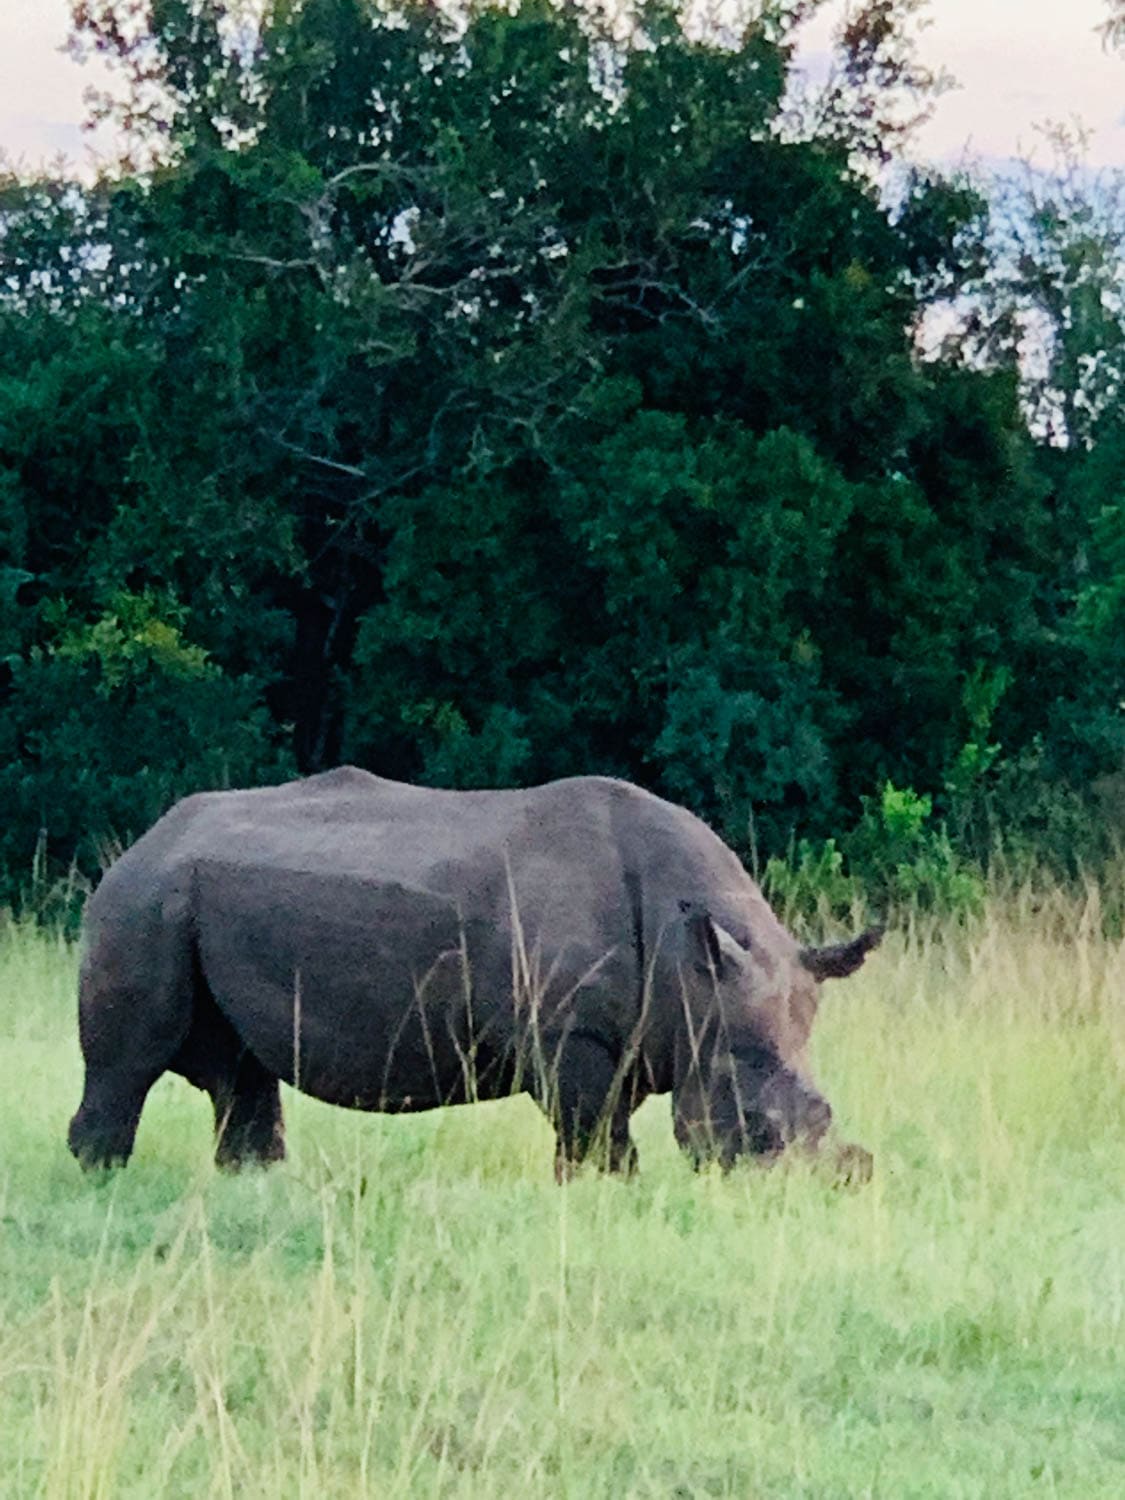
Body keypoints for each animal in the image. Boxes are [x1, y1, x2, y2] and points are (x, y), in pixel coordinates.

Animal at [69, 768, 881, 1179]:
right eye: (754, 1128)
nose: (796, 1190)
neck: (690, 965)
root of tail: (142, 840)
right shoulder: (568, 1034)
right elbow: (596, 1136)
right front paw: (600, 1192)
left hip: (195, 897)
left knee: (241, 1071)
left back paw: (254, 1181)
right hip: (144, 903)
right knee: (128, 1065)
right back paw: (104, 1178)